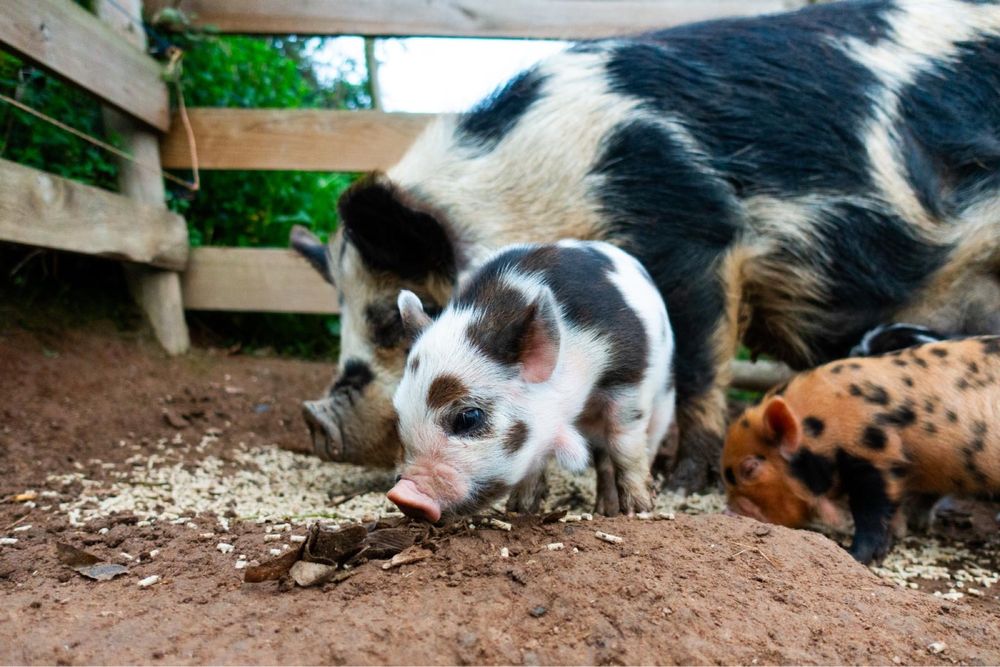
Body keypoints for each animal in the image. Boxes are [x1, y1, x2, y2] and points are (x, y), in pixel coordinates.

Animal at [386, 241, 676, 520]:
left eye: (468, 418)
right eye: (399, 416)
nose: (403, 495)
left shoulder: (627, 376)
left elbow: (624, 441)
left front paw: (640, 510)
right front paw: (520, 509)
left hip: (664, 400)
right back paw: (604, 511)